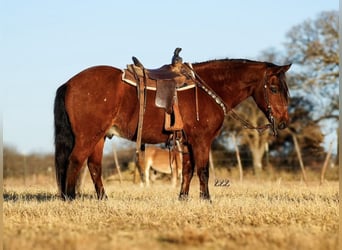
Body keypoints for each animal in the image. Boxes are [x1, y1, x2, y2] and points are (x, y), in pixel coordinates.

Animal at [54, 57, 292, 200]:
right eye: (273, 88)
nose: (283, 122)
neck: (207, 90)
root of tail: (69, 83)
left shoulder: (186, 142)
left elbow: (187, 170)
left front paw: (183, 198)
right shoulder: (201, 140)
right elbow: (203, 170)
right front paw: (206, 200)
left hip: (100, 137)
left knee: (94, 167)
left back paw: (103, 199)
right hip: (88, 136)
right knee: (75, 161)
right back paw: (69, 198)